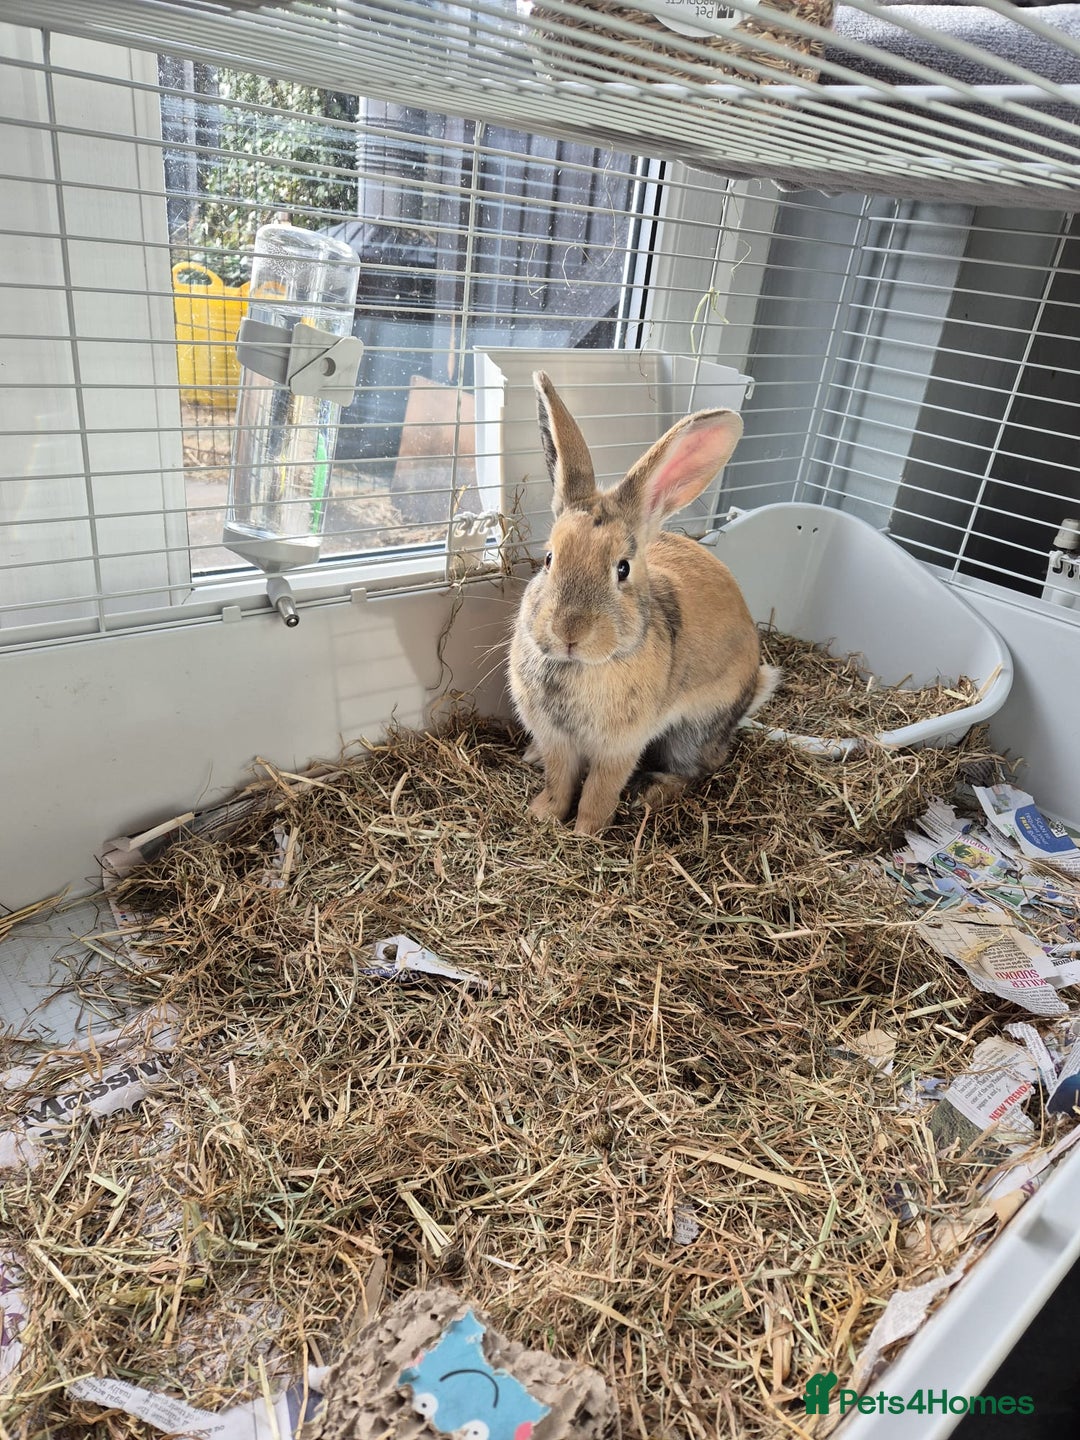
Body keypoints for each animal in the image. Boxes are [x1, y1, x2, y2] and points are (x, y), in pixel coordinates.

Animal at [509, 371, 779, 837]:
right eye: (548, 559)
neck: (581, 667)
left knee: (698, 768)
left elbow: (600, 789)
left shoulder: (621, 746)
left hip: (692, 732)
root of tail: (754, 687)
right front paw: (542, 815)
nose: (569, 631)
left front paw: (586, 832)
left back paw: (650, 793)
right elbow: (560, 779)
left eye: (622, 568)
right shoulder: (556, 738)